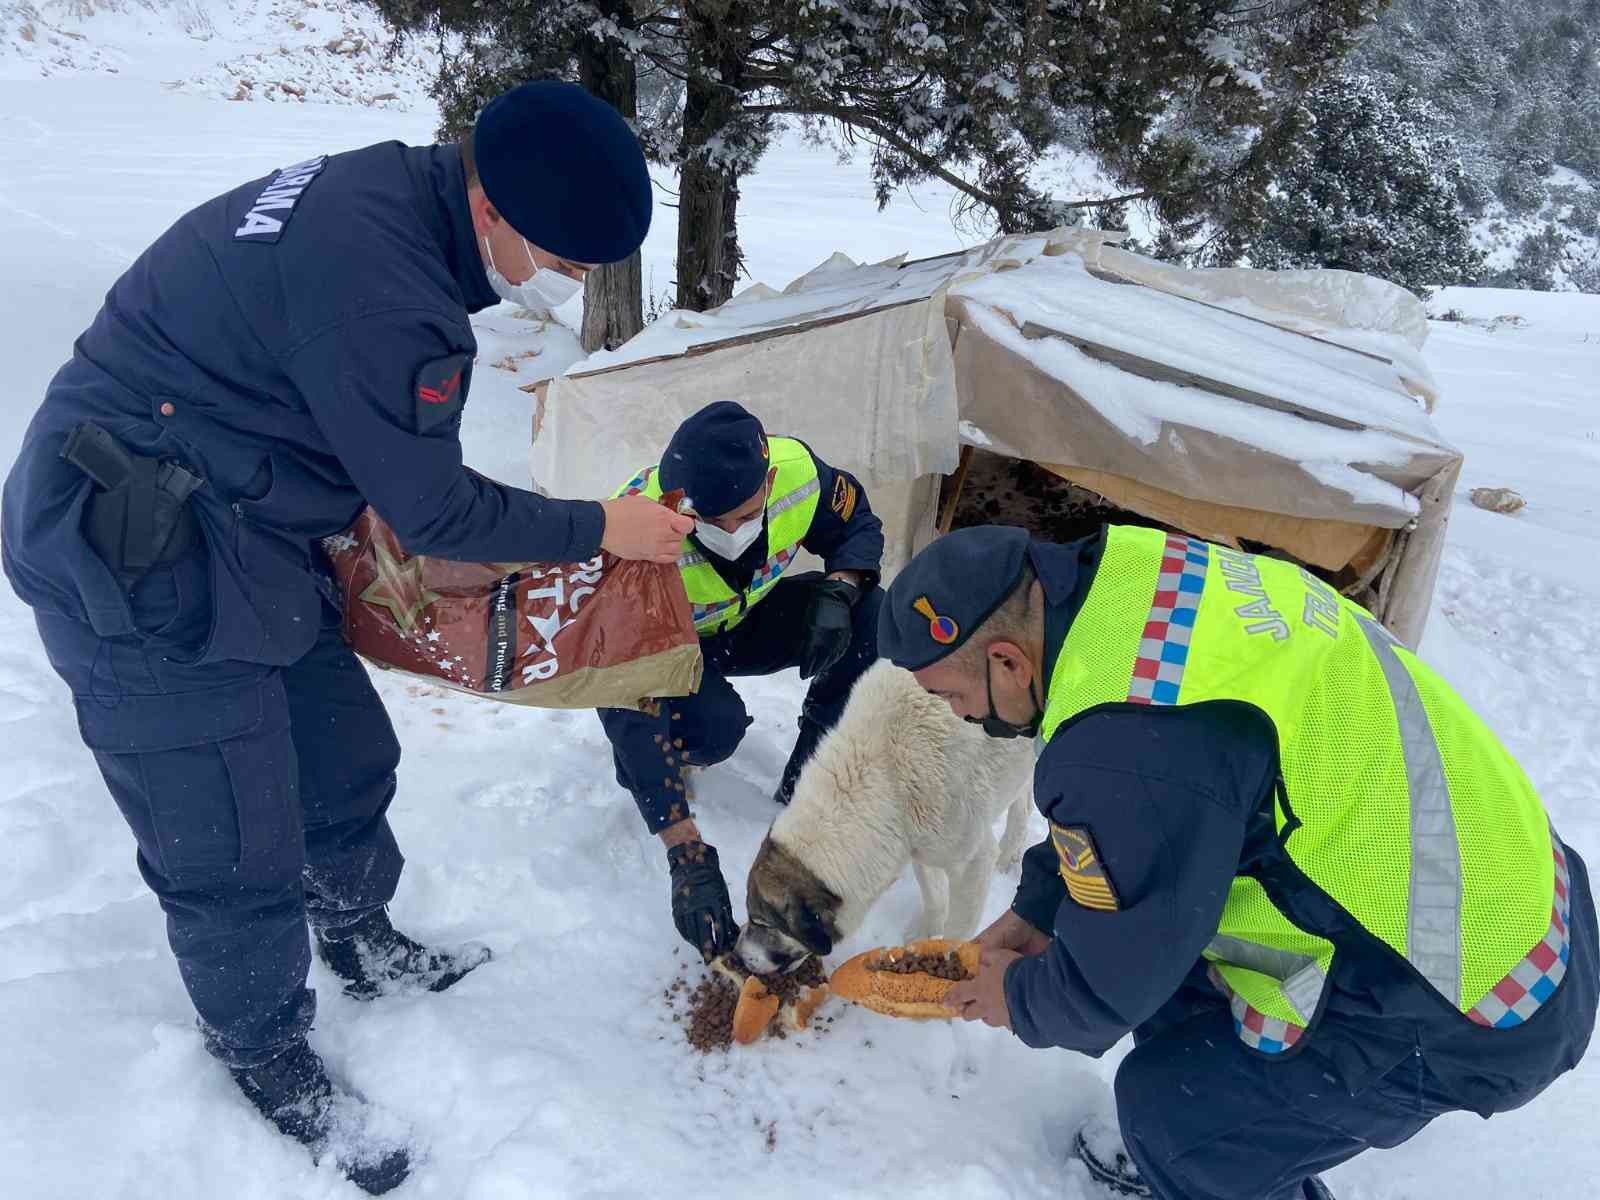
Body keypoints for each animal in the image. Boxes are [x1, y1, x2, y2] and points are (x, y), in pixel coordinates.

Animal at [0, 82, 681, 1196]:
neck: (430, 206)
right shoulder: (382, 329)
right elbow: (429, 494)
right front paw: (621, 525)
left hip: (297, 648)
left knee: (340, 781)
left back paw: (394, 964)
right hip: (169, 659)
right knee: (231, 875)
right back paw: (319, 1114)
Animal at [598, 404, 883, 966]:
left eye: (742, 514)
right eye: (701, 519)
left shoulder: (813, 468)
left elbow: (856, 520)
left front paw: (831, 611)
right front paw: (696, 880)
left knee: (864, 618)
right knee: (715, 721)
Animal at [736, 659, 1036, 979]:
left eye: (761, 922)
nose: (738, 954)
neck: (887, 775)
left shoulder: (971, 861)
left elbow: (959, 932)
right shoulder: (917, 842)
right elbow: (933, 894)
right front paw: (926, 933)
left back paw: (1009, 854)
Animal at [883, 524, 1593, 1200]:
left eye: (950, 691)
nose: (958, 716)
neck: (1068, 616)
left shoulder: (1121, 780)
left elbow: (1121, 966)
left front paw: (984, 990)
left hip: (1361, 1072)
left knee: (1188, 1131)